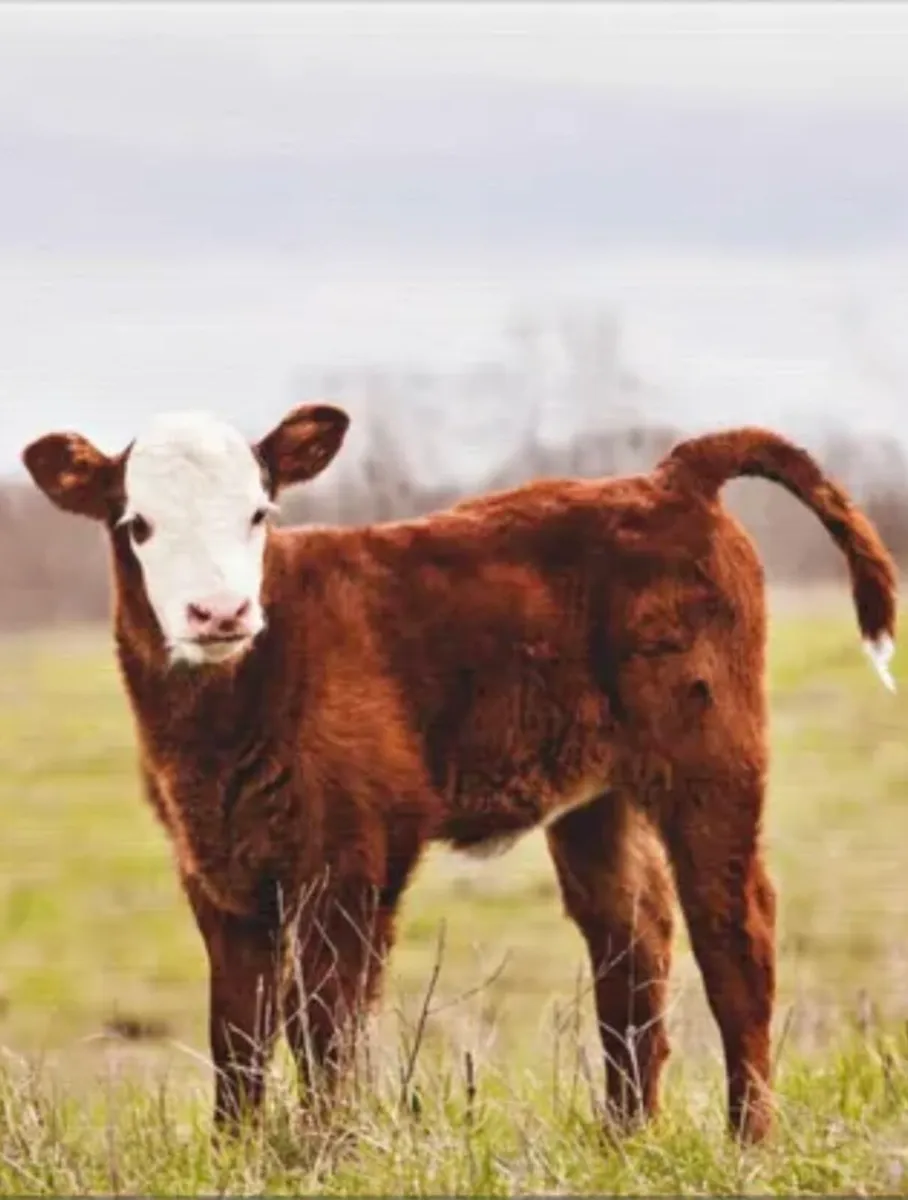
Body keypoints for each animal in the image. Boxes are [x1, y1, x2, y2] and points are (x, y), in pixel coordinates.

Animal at [22, 404, 897, 1144]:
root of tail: (668, 477)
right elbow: (238, 1030)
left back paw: (747, 1142)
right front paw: (239, 1154)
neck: (218, 730)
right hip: (599, 799)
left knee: (735, 930)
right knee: (631, 938)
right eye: (137, 523)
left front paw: (329, 1152)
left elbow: (326, 1020)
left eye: (259, 513)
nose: (220, 612)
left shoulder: (353, 852)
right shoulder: (213, 864)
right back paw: (625, 1137)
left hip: (711, 758)